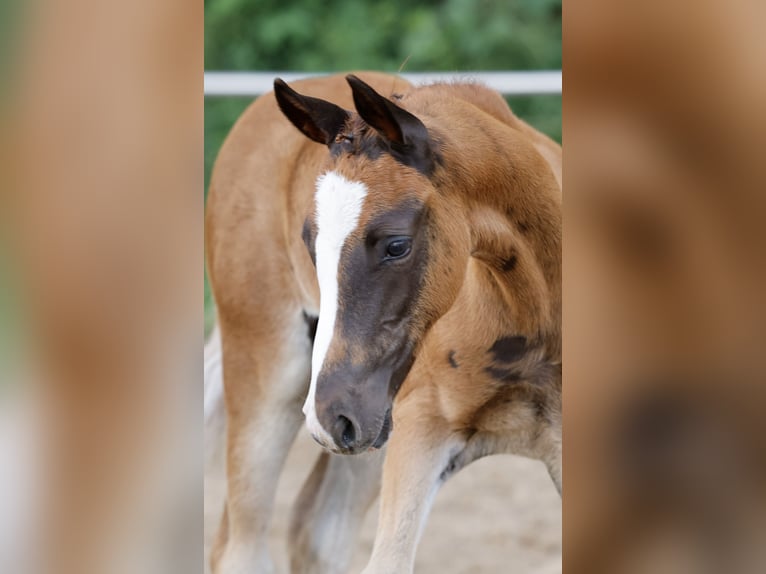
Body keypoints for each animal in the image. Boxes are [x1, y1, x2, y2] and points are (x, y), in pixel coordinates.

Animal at [205, 71, 562, 574]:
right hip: (277, 383)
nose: (330, 415)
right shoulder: (421, 433)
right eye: (310, 243)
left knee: (319, 530)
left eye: (396, 245)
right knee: (243, 546)